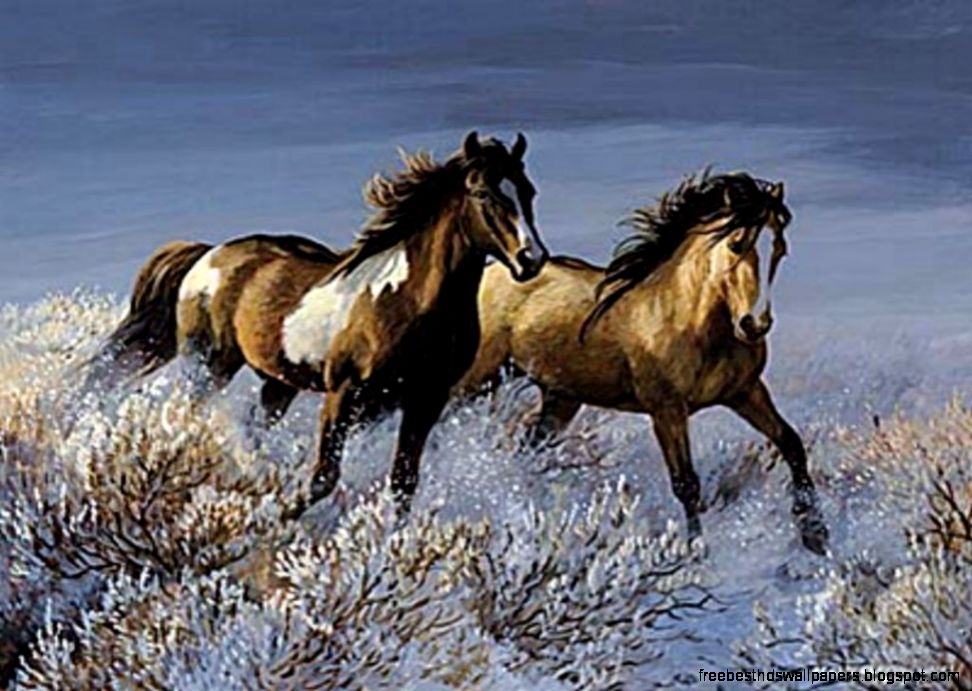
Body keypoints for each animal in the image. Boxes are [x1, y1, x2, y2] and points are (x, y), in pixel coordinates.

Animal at [92, 131, 549, 516]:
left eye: (528, 192)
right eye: (483, 193)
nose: (532, 260)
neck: (409, 305)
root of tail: (209, 253)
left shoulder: (426, 402)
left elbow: (403, 486)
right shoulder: (343, 396)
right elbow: (323, 480)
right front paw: (276, 520)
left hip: (278, 383)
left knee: (253, 427)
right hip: (208, 366)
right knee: (189, 418)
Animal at [457, 171, 829, 554]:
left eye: (779, 249)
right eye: (737, 244)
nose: (754, 325)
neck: (688, 322)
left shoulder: (746, 392)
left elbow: (791, 444)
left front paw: (816, 535)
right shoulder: (666, 410)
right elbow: (686, 483)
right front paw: (695, 553)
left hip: (560, 399)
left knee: (529, 449)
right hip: (477, 379)